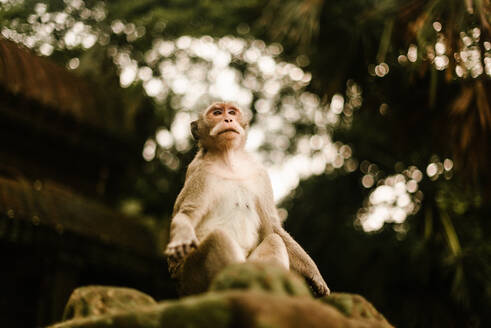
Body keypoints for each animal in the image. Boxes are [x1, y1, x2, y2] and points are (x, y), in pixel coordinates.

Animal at [165, 102, 330, 298]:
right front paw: (182, 235)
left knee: (274, 239)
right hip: (188, 280)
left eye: (232, 112)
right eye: (217, 113)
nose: (228, 119)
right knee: (218, 238)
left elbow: (272, 227)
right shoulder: (201, 173)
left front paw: (314, 275)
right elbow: (187, 212)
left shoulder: (260, 174)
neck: (229, 161)